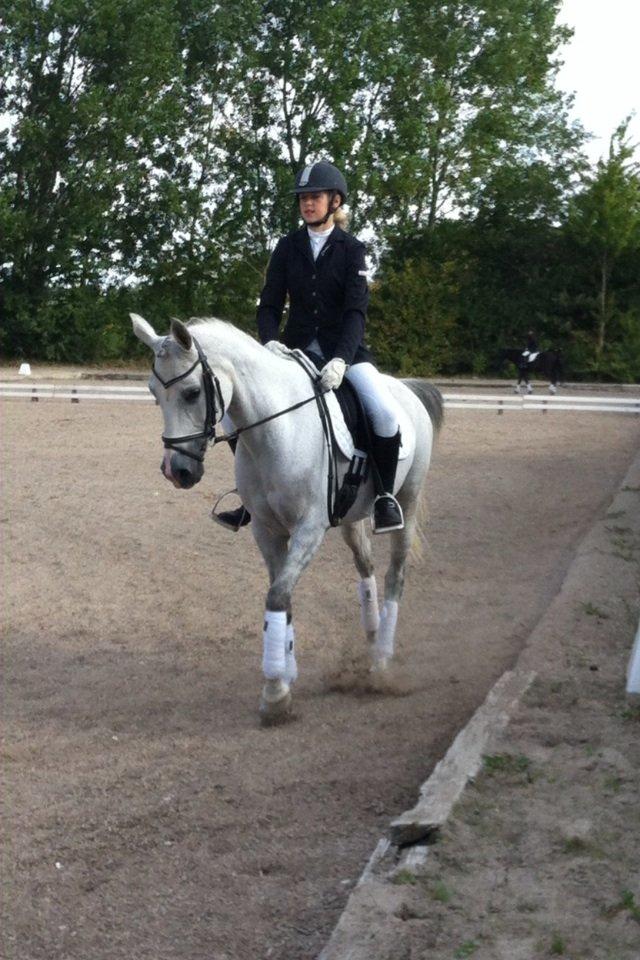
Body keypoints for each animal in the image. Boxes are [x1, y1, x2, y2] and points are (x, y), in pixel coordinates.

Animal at [131, 314, 443, 725]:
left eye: (192, 393)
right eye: (153, 393)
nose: (176, 471)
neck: (274, 431)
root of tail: (405, 388)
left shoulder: (308, 530)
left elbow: (278, 595)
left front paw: (276, 694)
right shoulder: (267, 531)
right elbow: (282, 594)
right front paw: (284, 674)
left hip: (407, 501)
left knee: (396, 575)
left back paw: (381, 662)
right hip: (351, 518)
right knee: (366, 567)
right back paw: (372, 639)